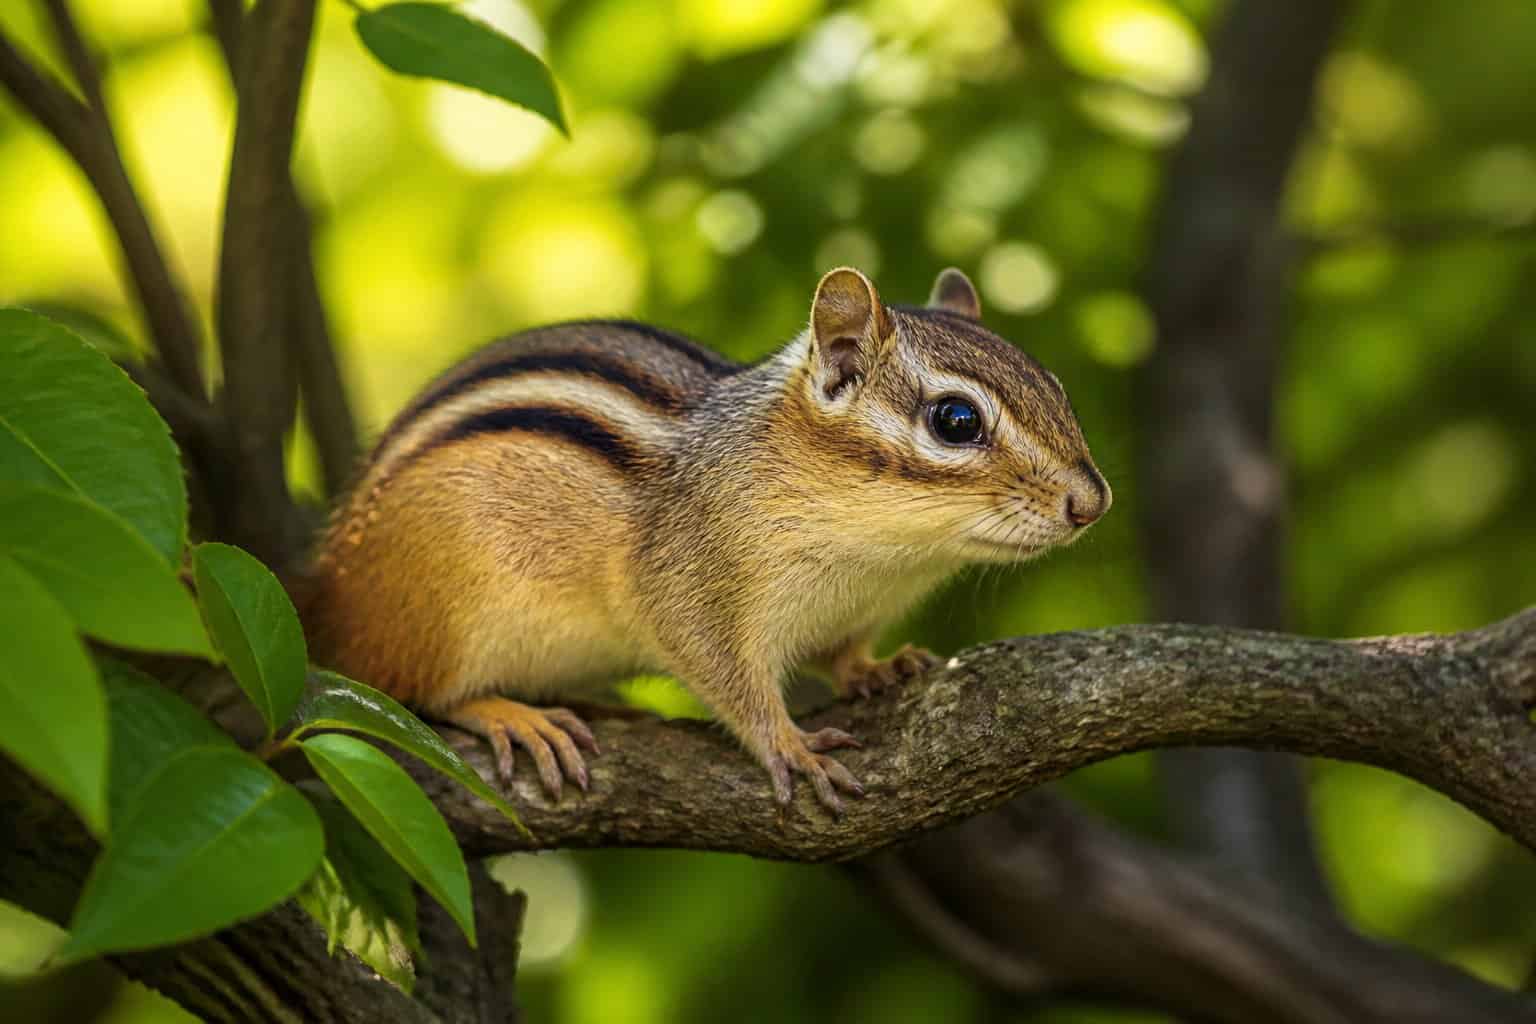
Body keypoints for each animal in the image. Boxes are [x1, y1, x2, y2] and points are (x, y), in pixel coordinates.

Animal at [299, 267, 1110, 814]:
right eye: (956, 421)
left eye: (1055, 387)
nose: (1093, 502)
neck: (884, 554)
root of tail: (323, 597)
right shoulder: (693, 587)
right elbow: (725, 675)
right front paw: (789, 745)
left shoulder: (856, 608)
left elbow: (846, 654)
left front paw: (880, 668)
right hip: (442, 610)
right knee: (417, 694)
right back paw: (513, 716)